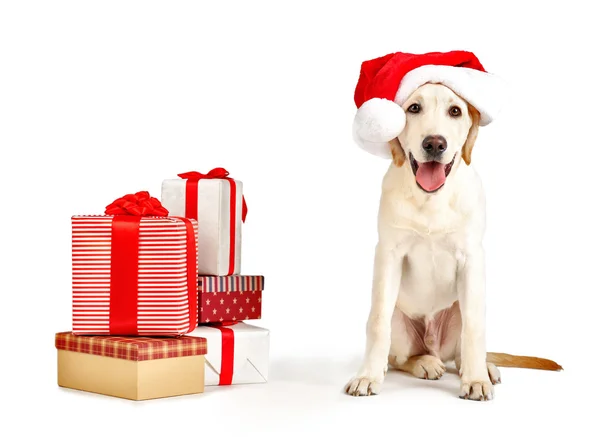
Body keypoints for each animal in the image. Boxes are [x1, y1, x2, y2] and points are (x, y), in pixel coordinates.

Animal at [344, 82, 560, 398]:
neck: (431, 199)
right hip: (401, 324)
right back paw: (424, 363)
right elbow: (378, 322)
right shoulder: (388, 254)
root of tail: (435, 348)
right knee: (400, 359)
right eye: (414, 108)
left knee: (460, 353)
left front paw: (476, 380)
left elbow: (474, 329)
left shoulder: (471, 258)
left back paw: (483, 368)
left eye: (455, 111)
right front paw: (367, 376)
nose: (435, 144)